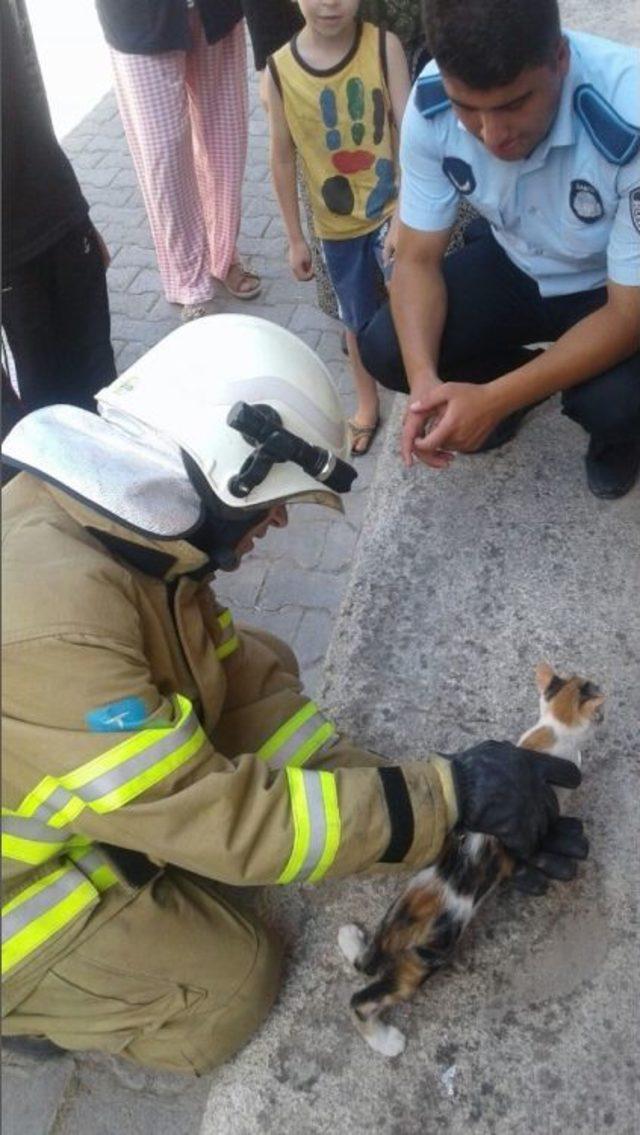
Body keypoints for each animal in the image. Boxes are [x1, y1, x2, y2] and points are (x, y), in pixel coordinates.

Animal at [340, 662, 603, 1057]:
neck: (549, 732)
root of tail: (398, 924)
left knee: (364, 964)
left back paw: (352, 940)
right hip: (423, 960)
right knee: (362, 999)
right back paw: (386, 1042)